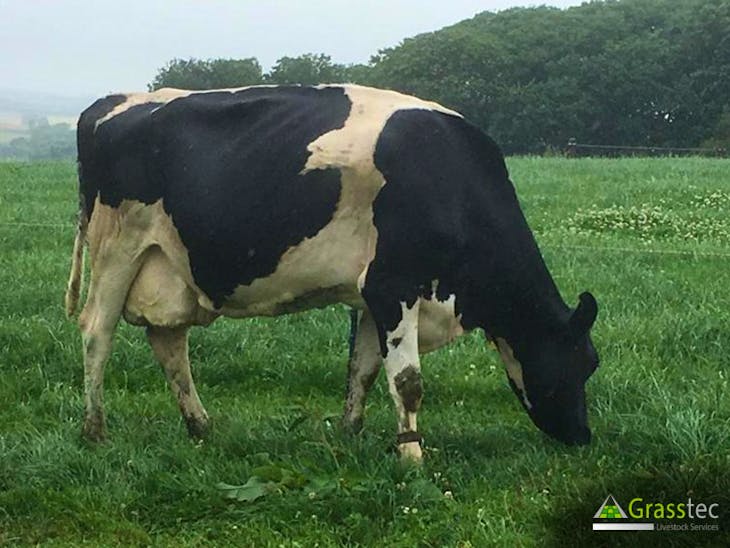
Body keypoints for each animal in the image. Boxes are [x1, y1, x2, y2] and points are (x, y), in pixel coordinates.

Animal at [65, 84, 599, 461]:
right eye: (585, 363)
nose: (583, 436)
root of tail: (110, 102)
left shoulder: (371, 296)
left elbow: (362, 370)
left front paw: (351, 435)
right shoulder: (394, 284)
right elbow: (408, 382)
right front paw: (412, 458)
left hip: (168, 267)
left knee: (169, 343)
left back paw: (200, 426)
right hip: (117, 249)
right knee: (97, 332)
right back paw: (95, 430)